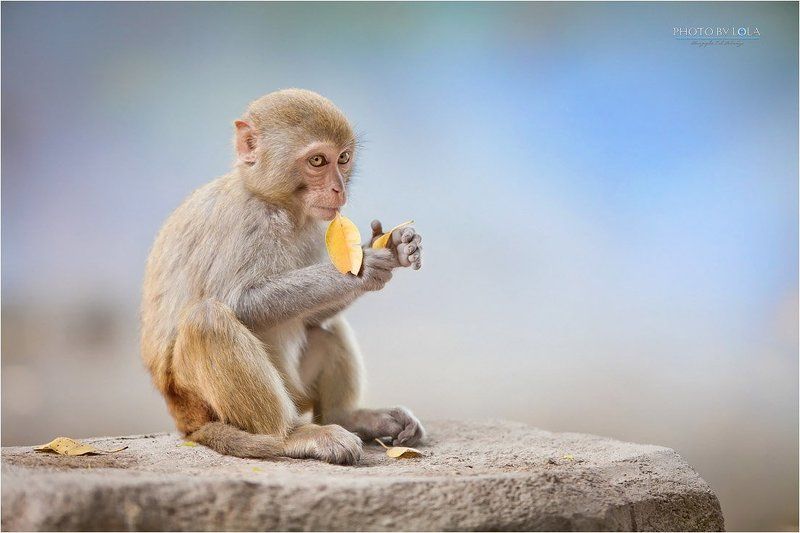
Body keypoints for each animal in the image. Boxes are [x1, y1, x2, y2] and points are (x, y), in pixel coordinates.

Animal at [140, 89, 424, 465]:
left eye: (343, 159)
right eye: (318, 161)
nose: (339, 189)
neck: (279, 205)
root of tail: (185, 421)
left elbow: (313, 315)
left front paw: (393, 246)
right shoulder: (245, 221)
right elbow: (240, 303)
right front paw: (363, 269)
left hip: (296, 390)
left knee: (323, 327)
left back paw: (348, 417)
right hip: (197, 401)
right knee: (208, 320)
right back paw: (293, 436)